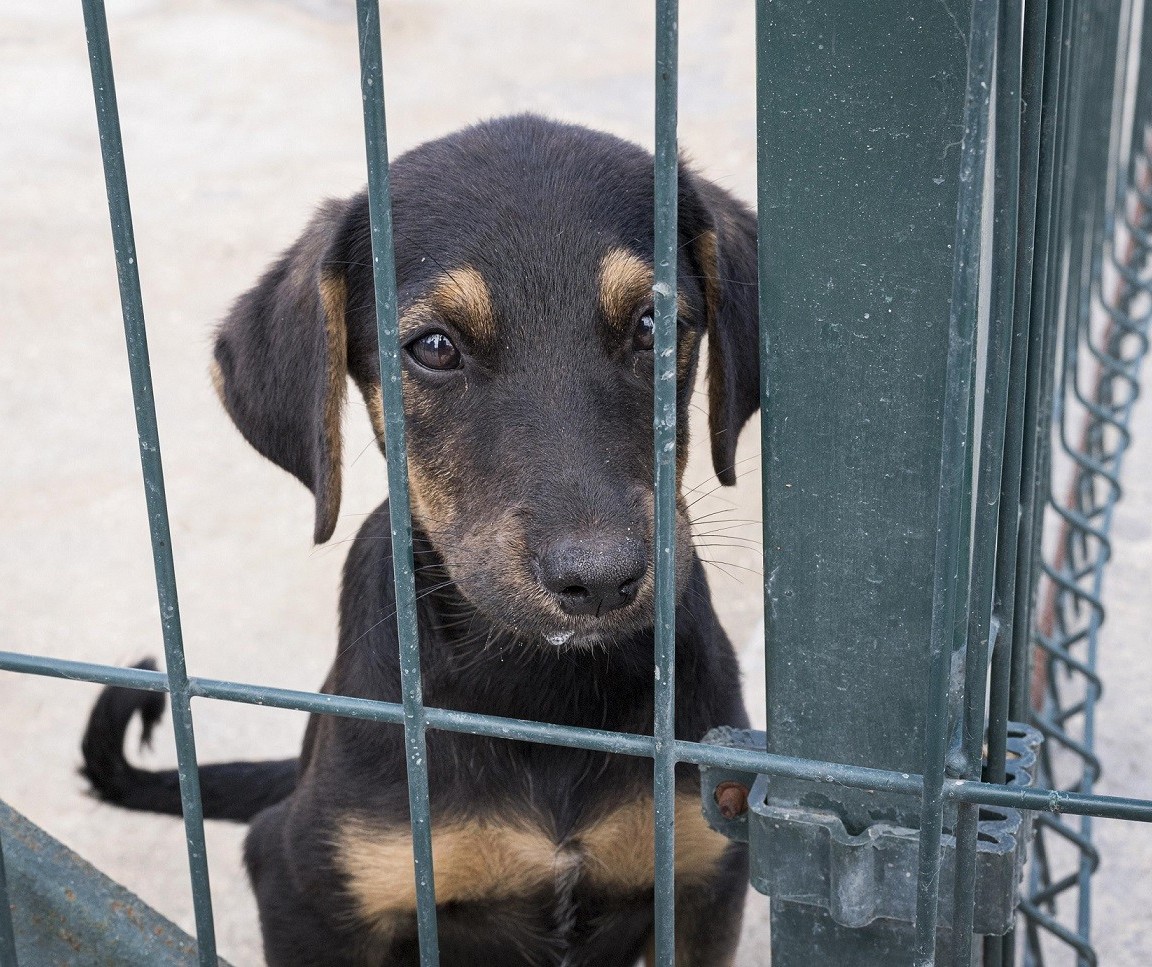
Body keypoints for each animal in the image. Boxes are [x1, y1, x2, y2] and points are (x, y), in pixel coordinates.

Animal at [83, 115, 764, 967]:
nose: (601, 578)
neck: (539, 694)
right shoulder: (306, 881)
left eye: (655, 325)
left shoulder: (705, 876)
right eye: (435, 347)